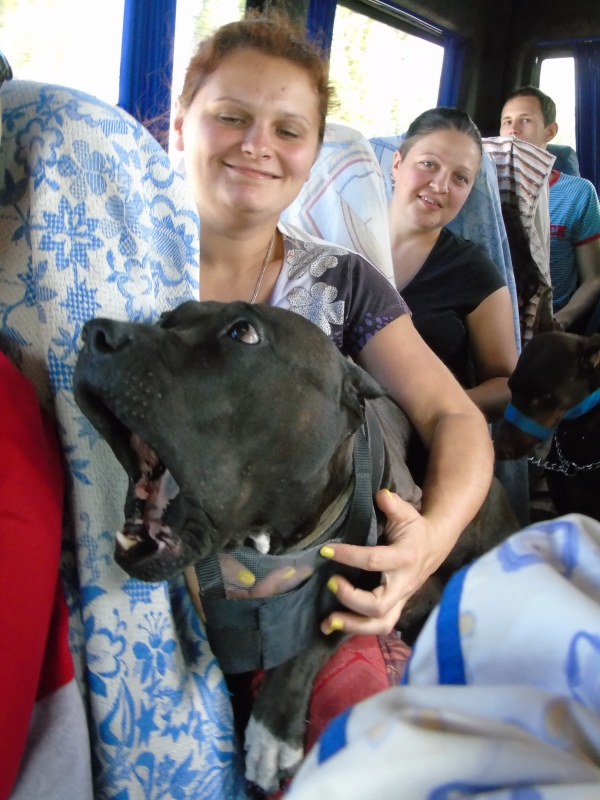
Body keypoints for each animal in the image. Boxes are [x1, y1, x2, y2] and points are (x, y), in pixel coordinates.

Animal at [74, 300, 517, 792]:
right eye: (167, 319)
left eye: (243, 332)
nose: (94, 333)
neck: (273, 538)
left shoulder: (387, 582)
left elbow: (320, 632)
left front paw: (270, 732)